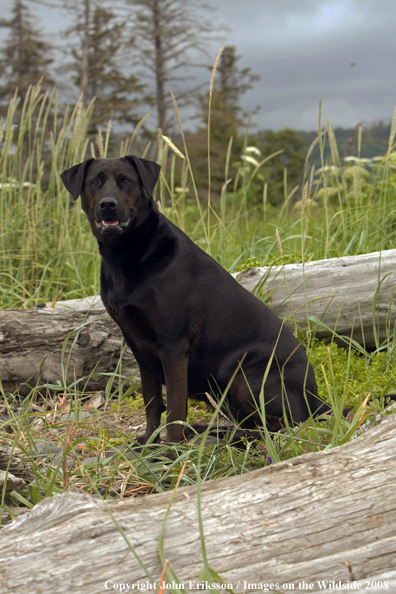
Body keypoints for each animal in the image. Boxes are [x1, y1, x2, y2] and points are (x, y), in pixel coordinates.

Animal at [61, 155, 328, 442]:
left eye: (126, 180)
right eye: (94, 181)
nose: (108, 204)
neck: (128, 254)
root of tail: (316, 399)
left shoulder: (173, 347)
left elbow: (175, 407)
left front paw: (171, 448)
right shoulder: (139, 347)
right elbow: (152, 401)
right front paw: (150, 441)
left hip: (246, 379)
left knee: (279, 428)